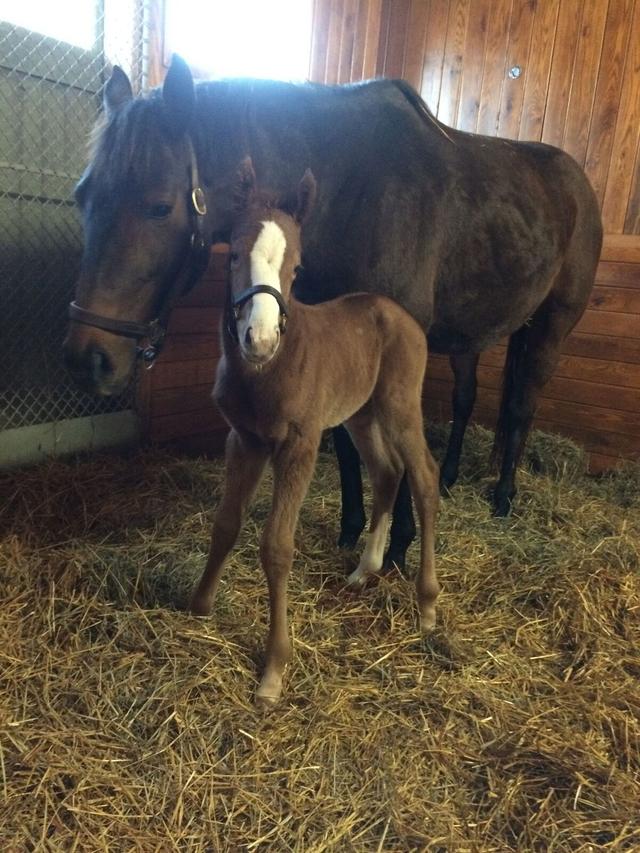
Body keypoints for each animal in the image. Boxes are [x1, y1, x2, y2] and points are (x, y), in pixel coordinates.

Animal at [190, 161, 440, 704]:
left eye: (297, 268)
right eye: (233, 254)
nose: (259, 339)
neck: (269, 370)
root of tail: (403, 316)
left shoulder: (299, 446)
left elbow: (276, 546)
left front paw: (273, 669)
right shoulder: (244, 439)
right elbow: (225, 523)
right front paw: (198, 603)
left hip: (399, 406)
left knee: (424, 477)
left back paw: (428, 605)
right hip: (360, 415)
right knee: (387, 473)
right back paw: (364, 570)